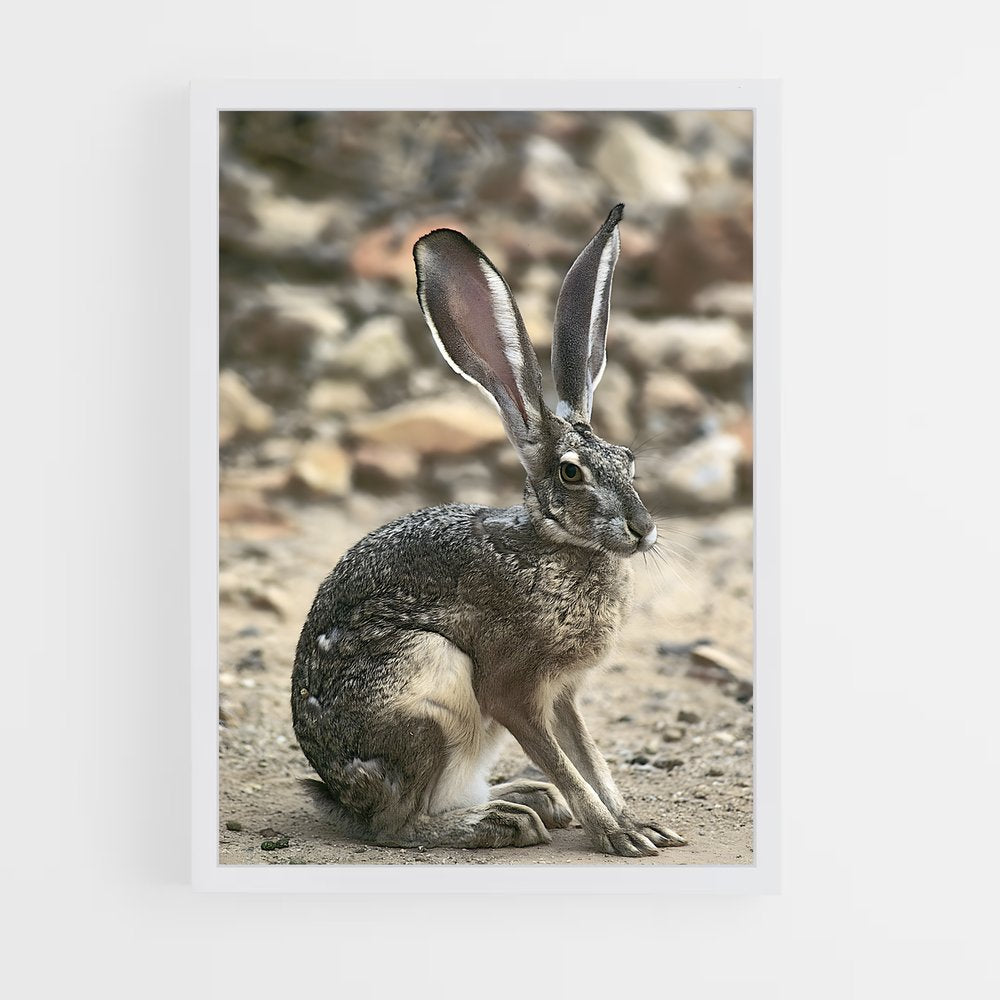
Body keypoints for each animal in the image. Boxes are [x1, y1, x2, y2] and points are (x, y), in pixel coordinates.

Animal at [291, 205, 687, 857]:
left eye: (627, 459)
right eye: (571, 473)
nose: (642, 529)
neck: (559, 545)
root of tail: (338, 795)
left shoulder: (563, 695)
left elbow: (590, 759)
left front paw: (637, 824)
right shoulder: (513, 689)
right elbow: (568, 765)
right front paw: (617, 834)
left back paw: (526, 801)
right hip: (425, 688)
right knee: (398, 824)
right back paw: (500, 822)